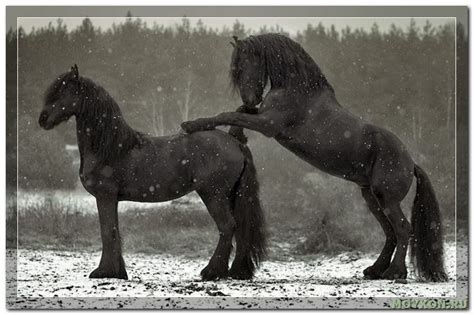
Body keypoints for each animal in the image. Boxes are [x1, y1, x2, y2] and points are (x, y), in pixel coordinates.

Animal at [38, 65, 264, 282]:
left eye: (64, 92)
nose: (42, 119)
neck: (111, 148)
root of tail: (235, 142)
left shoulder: (105, 196)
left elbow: (107, 231)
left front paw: (104, 272)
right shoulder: (112, 199)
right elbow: (115, 231)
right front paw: (118, 272)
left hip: (213, 194)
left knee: (227, 226)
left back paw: (211, 272)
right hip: (231, 195)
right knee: (239, 228)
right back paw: (235, 271)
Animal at [181, 33, 448, 282]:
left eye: (245, 64)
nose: (251, 98)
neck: (296, 90)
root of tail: (411, 162)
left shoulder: (268, 125)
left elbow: (230, 113)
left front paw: (191, 124)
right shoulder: (261, 117)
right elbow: (237, 113)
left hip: (387, 198)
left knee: (403, 229)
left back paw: (395, 272)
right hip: (372, 197)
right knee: (390, 232)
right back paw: (374, 270)